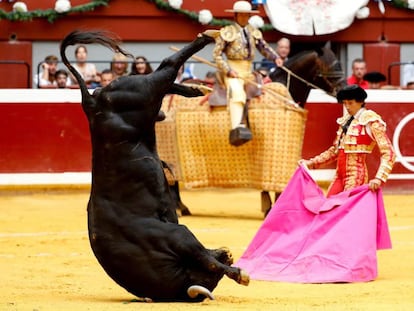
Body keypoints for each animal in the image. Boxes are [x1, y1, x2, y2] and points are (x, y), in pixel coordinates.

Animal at [61, 31, 249, 302]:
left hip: (143, 94)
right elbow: (208, 260)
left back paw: (200, 76)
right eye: (210, 281)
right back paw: (207, 40)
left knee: (166, 71)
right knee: (167, 67)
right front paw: (238, 272)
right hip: (145, 93)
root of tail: (91, 103)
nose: (226, 253)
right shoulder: (179, 235)